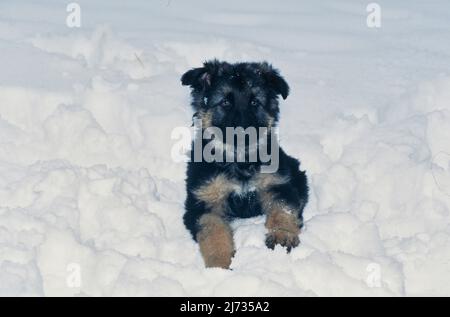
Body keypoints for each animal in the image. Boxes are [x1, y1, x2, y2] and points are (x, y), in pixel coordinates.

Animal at [181, 59, 308, 266]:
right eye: (225, 102)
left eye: (255, 102)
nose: (243, 134)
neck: (239, 161)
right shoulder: (205, 203)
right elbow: (214, 232)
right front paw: (219, 264)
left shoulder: (278, 185)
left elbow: (283, 210)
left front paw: (282, 235)